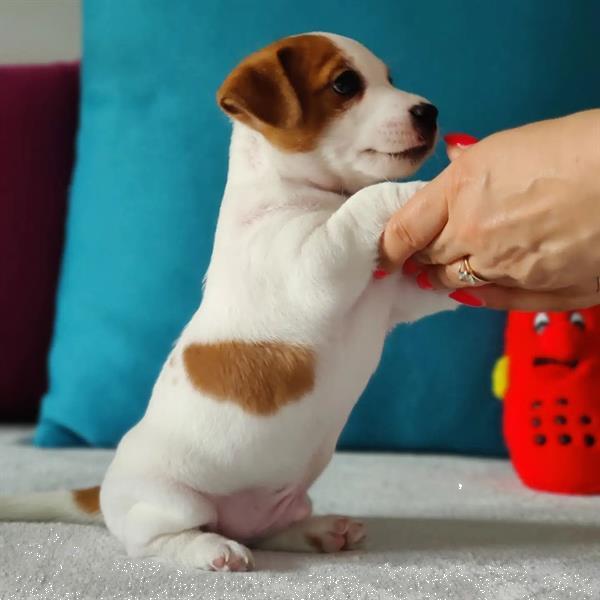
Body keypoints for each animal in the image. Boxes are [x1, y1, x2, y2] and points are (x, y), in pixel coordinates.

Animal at [2, 32, 458, 572]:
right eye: (345, 84)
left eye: (389, 78)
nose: (429, 111)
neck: (301, 193)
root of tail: (106, 488)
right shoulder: (311, 266)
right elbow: (365, 204)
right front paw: (422, 190)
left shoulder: (398, 298)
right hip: (174, 501)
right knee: (153, 538)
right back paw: (213, 549)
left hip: (281, 502)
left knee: (269, 530)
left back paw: (321, 530)